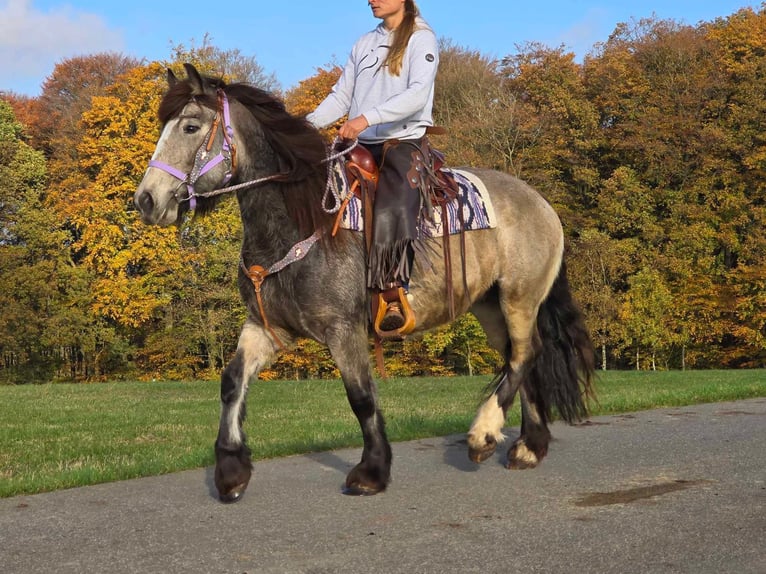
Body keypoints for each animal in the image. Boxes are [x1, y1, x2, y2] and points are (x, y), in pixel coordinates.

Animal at [135, 64, 596, 504]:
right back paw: (529, 447)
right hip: (490, 307)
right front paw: (231, 472)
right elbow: (232, 382)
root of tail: (541, 203)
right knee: (521, 358)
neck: (301, 219)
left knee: (526, 354)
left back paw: (484, 434)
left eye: (190, 126)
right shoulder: (266, 326)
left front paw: (371, 472)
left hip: (520, 297)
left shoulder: (343, 329)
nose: (146, 200)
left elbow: (360, 397)